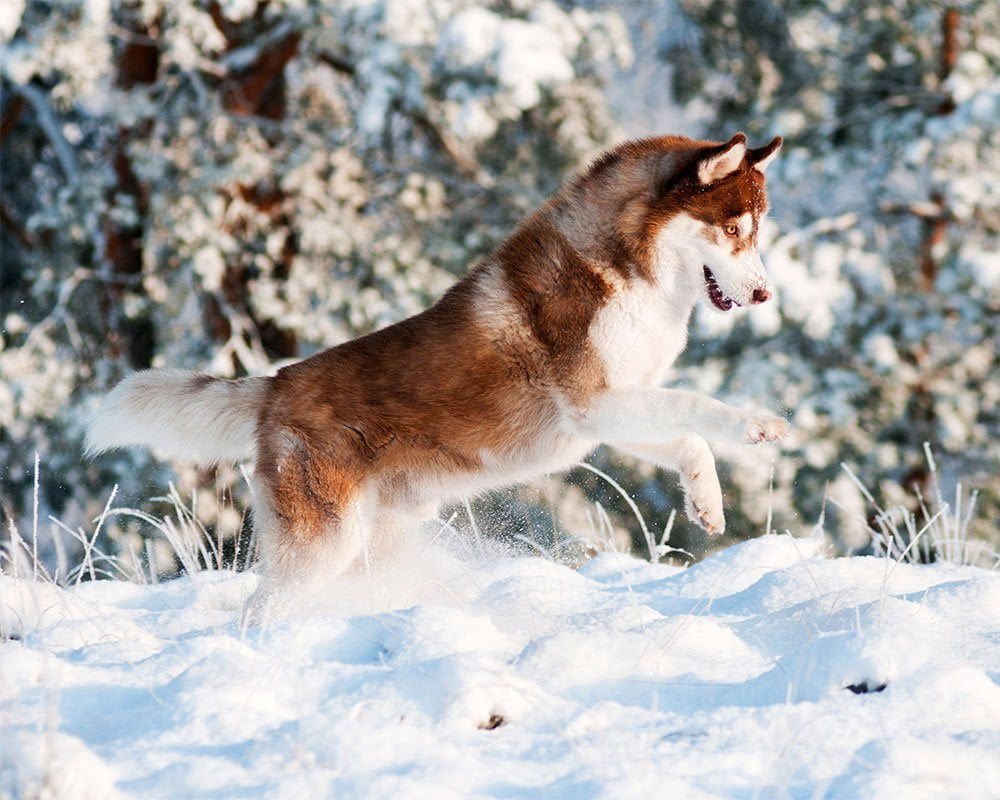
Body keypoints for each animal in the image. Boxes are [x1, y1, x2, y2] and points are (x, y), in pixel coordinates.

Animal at [86, 131, 788, 608]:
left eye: (757, 232)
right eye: (733, 228)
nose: (763, 295)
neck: (628, 271)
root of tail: (275, 385)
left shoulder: (619, 409)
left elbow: (689, 438)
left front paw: (706, 502)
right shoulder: (595, 401)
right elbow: (699, 407)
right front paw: (756, 425)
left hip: (377, 540)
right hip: (323, 544)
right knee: (262, 607)